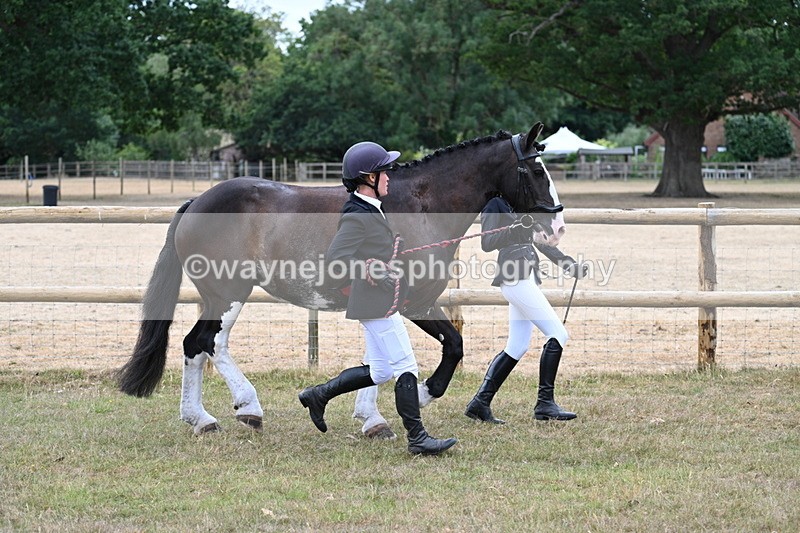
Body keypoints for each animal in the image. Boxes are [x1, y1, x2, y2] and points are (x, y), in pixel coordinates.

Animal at [117, 122, 566, 436]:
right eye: (536, 169)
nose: (556, 227)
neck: (417, 207)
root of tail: (198, 201)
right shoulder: (413, 303)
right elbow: (450, 348)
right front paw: (421, 395)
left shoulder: (388, 302)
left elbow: (381, 359)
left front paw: (371, 417)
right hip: (228, 293)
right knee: (210, 343)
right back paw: (247, 407)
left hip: (218, 297)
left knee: (194, 346)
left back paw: (200, 419)